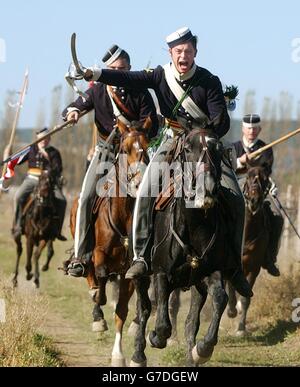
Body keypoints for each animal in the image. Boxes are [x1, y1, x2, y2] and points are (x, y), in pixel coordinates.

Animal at [69, 118, 150, 366]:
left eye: (147, 147)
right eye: (125, 149)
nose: (139, 184)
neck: (122, 217)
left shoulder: (129, 272)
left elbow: (121, 311)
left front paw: (119, 355)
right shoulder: (98, 254)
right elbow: (100, 274)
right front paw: (99, 306)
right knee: (89, 273)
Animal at [131, 124, 230, 366]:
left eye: (218, 147)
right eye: (187, 148)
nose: (208, 186)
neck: (195, 225)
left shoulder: (212, 272)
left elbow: (220, 299)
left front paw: (203, 349)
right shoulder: (160, 273)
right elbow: (162, 323)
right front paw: (156, 338)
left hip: (197, 285)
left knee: (191, 322)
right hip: (141, 275)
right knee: (143, 308)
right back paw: (137, 355)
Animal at [227, 165, 272, 334]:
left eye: (265, 180)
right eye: (248, 177)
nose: (254, 200)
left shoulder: (254, 268)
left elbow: (246, 299)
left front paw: (241, 328)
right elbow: (231, 289)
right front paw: (232, 310)